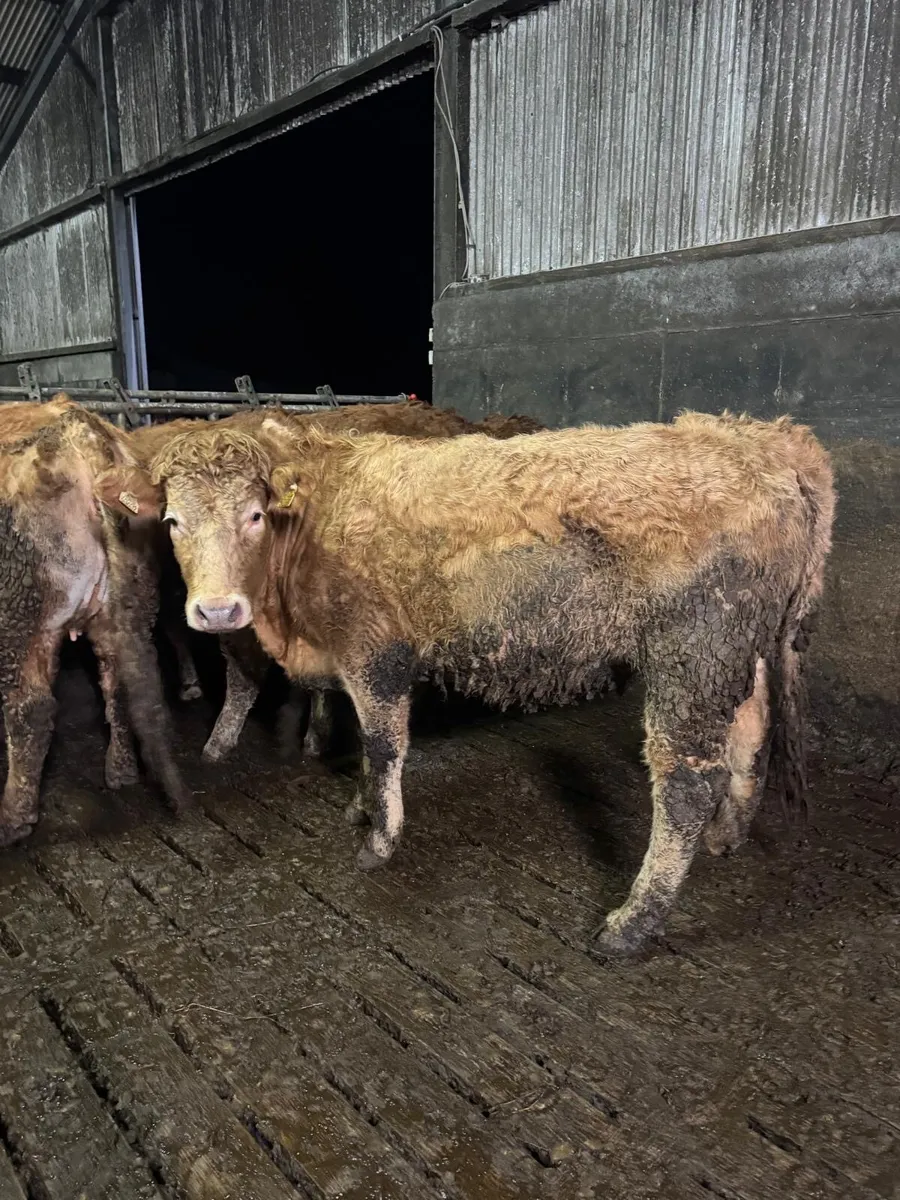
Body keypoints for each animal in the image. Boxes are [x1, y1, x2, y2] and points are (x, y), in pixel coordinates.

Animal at [0, 396, 189, 846]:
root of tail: (76, 427)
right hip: (128, 596)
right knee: (117, 680)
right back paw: (121, 771)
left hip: (19, 613)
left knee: (30, 709)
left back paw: (12, 821)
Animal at [130, 400, 542, 764]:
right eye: (173, 520)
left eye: (256, 516)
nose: (217, 610)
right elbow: (241, 675)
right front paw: (220, 741)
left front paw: (315, 736)